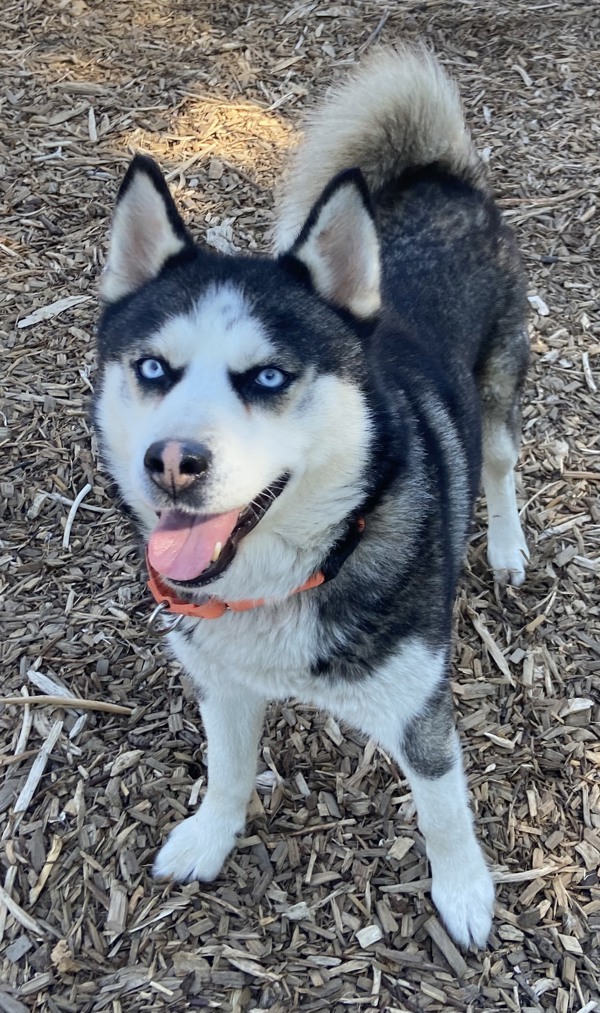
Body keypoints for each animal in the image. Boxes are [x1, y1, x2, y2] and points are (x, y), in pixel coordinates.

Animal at [94, 45, 531, 948]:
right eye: (152, 367)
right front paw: (211, 835)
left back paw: (507, 546)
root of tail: (440, 177)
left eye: (267, 377)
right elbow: (227, 767)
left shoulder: (420, 706)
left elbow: (444, 809)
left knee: (501, 465)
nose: (172, 463)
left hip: (501, 388)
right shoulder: (220, 679)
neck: (300, 565)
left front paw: (465, 891)